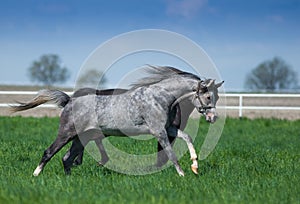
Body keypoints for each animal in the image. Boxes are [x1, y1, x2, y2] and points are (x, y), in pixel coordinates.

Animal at [11, 66, 223, 176]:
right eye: (208, 97)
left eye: (217, 97)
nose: (213, 118)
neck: (160, 97)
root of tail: (69, 101)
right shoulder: (159, 132)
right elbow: (171, 154)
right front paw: (183, 174)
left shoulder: (168, 129)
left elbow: (187, 137)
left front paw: (195, 166)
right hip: (67, 133)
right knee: (49, 152)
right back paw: (36, 175)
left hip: (81, 138)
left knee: (67, 158)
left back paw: (68, 180)